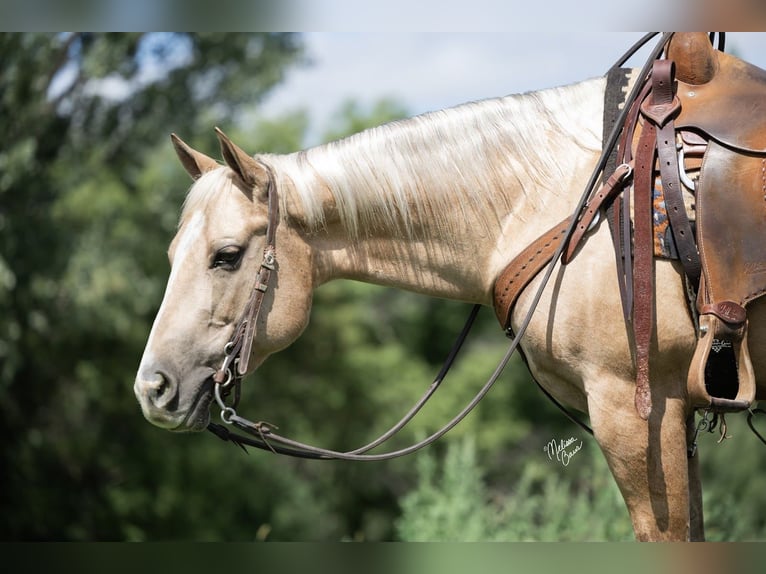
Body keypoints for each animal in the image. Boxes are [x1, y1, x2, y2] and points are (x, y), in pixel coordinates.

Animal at [134, 37, 766, 544]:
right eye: (170, 255)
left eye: (226, 256)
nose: (152, 388)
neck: (567, 196)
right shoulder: (674, 418)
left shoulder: (638, 411)